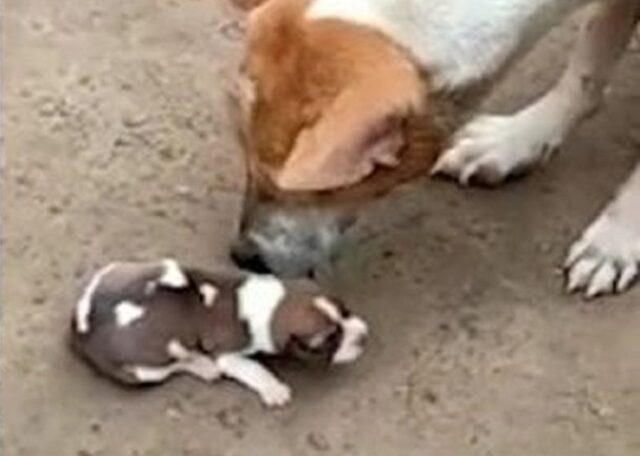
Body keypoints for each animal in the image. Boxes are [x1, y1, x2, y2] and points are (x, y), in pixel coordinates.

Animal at [70, 260, 368, 406]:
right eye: (326, 342)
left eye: (345, 310)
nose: (363, 337)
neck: (269, 302)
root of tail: (78, 330)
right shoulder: (227, 354)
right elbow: (253, 368)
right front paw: (274, 389)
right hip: (147, 370)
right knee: (175, 364)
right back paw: (203, 366)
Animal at [230, 0, 640, 300]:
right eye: (246, 161)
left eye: (312, 187)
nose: (242, 257)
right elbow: (588, 68)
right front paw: (519, 138)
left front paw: (614, 240)